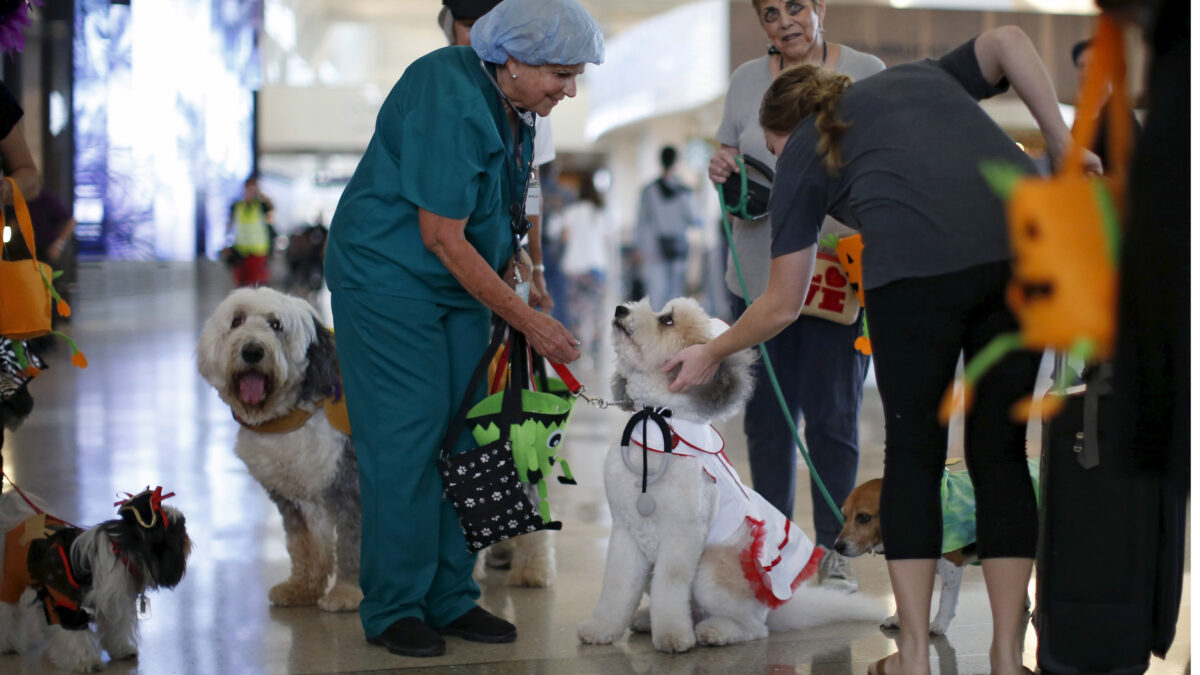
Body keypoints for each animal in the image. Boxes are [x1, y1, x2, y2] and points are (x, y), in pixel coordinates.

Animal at [0, 482, 190, 667]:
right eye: (179, 528)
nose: (188, 536)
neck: (122, 550)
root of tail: (23, 519)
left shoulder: (115, 602)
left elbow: (117, 627)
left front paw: (122, 650)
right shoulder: (68, 603)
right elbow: (76, 634)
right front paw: (86, 661)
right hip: (11, 582)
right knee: (8, 613)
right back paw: (9, 645)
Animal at [198, 283, 360, 610]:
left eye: (276, 325)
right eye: (237, 320)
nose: (252, 351)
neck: (294, 416)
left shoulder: (350, 488)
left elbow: (353, 544)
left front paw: (347, 593)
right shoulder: (295, 498)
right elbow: (307, 545)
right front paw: (301, 588)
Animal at [576, 296, 878, 648]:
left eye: (667, 320)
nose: (620, 309)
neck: (656, 423)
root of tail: (772, 610)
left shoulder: (682, 537)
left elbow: (670, 589)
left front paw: (673, 637)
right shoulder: (626, 532)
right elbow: (617, 586)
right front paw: (602, 629)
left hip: (710, 571)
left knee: (752, 627)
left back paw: (715, 632)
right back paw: (645, 620)